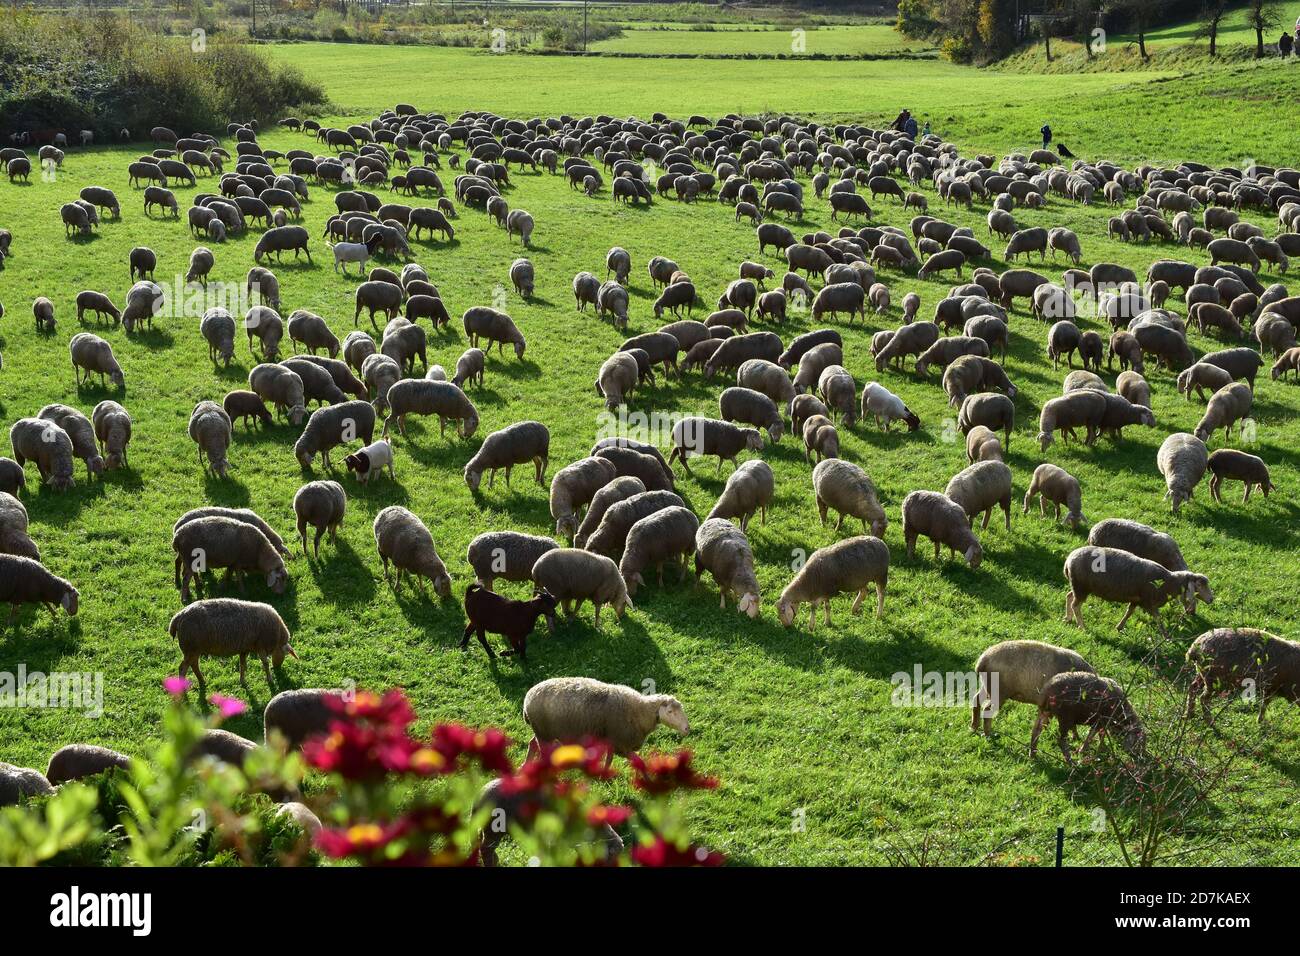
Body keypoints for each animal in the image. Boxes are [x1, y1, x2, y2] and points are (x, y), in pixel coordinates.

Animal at [1060, 546, 1211, 634]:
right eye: (1200, 585)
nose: (1211, 599)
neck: (1168, 582)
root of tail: (1068, 560)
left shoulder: (1137, 599)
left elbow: (1129, 613)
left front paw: (1119, 627)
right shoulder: (1150, 601)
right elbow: (1158, 618)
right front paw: (1166, 635)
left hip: (1079, 586)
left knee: (1069, 596)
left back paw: (1068, 618)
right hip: (1081, 586)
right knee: (1075, 605)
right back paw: (1082, 626)